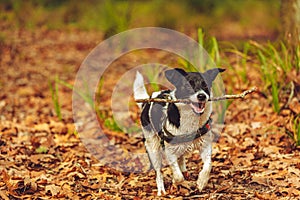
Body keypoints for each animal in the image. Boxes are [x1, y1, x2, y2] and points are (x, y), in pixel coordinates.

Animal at [132, 67, 224, 195]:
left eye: (205, 85)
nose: (202, 96)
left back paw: (184, 170)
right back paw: (161, 190)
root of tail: (147, 101)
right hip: (153, 147)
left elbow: (208, 165)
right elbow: (178, 176)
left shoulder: (205, 146)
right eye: (188, 85)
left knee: (181, 159)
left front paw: (201, 182)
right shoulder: (170, 151)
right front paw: (176, 182)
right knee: (158, 172)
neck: (191, 119)